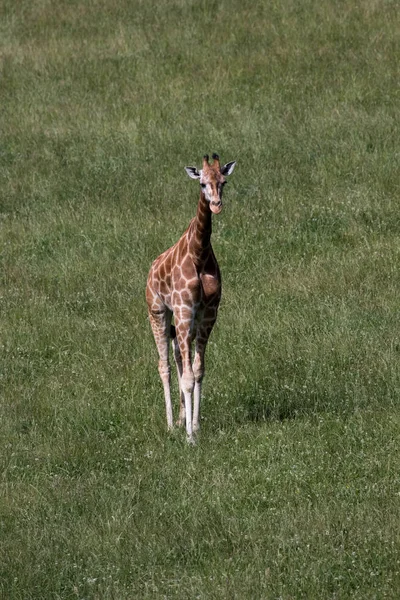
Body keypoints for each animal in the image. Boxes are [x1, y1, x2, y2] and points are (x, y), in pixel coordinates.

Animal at [146, 152, 234, 442]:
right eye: (202, 183)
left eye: (223, 182)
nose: (216, 205)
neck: (199, 253)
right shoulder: (184, 309)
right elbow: (186, 376)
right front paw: (189, 438)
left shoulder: (208, 313)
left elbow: (197, 371)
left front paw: (194, 426)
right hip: (158, 311)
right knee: (164, 366)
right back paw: (171, 424)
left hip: (186, 321)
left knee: (177, 357)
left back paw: (182, 418)